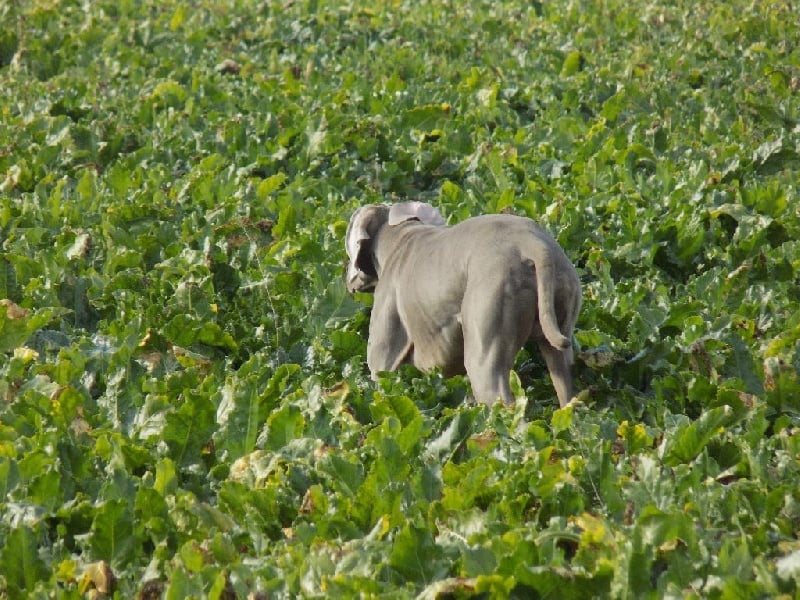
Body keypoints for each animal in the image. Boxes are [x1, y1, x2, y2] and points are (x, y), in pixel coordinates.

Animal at [344, 202, 580, 408]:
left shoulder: (383, 348)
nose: (347, 278)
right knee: (563, 379)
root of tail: (535, 246)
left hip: (488, 318)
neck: (398, 235)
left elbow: (380, 377)